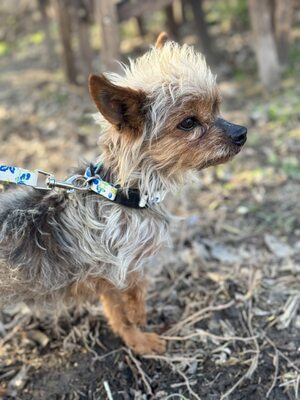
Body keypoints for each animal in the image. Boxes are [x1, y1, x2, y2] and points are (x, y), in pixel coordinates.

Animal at [0, 33, 246, 354]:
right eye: (188, 122)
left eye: (217, 108)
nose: (242, 133)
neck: (121, 195)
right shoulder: (116, 271)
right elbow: (127, 308)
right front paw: (139, 340)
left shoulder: (114, 275)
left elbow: (124, 304)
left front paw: (137, 327)